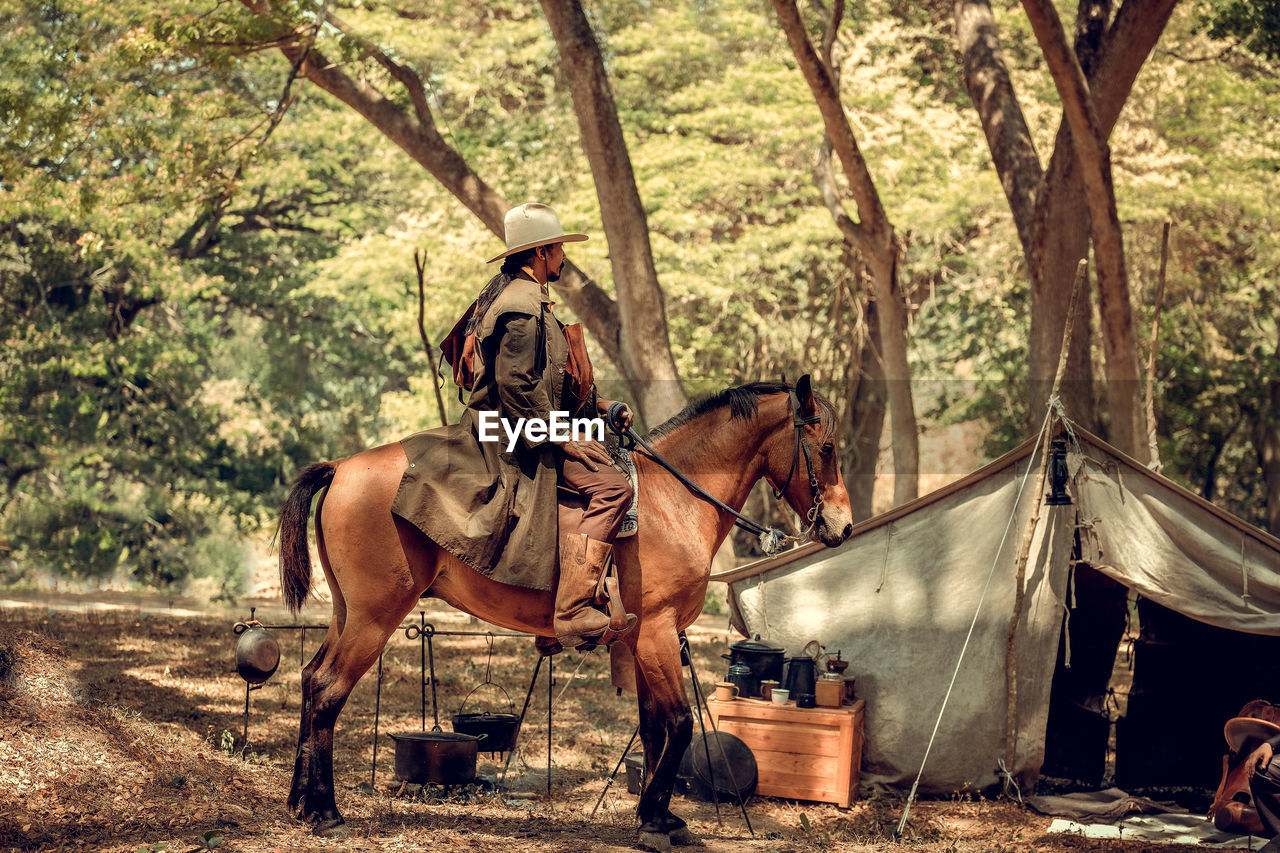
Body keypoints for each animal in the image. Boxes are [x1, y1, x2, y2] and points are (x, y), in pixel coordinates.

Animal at [277, 376, 849, 845]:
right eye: (826, 448)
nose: (841, 526)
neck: (673, 501)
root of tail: (341, 468)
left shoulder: (642, 642)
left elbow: (653, 727)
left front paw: (657, 816)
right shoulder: (658, 634)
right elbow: (680, 723)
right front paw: (657, 825)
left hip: (348, 614)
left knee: (310, 680)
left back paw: (300, 804)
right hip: (375, 617)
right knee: (328, 690)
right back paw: (325, 811)